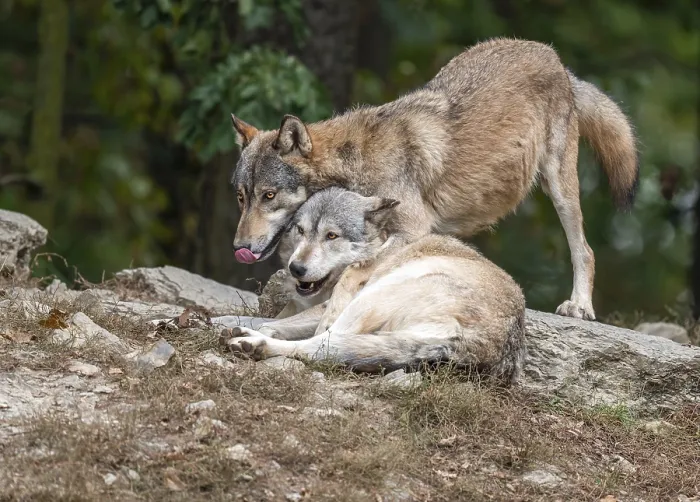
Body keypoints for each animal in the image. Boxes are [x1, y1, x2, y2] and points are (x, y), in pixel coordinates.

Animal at [222, 187, 527, 384]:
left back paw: (254, 343)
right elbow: (275, 320)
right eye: (300, 230)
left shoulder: (336, 298)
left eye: (331, 235)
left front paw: (247, 328)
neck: (378, 248)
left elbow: (275, 322)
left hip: (379, 292)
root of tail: (470, 345)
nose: (296, 268)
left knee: (324, 341)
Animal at [230, 37, 638, 322]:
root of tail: (554, 58)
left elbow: (352, 272)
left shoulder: (412, 231)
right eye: (241, 197)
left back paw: (579, 306)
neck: (356, 163)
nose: (239, 246)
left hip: (560, 187)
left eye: (269, 195)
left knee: (584, 250)